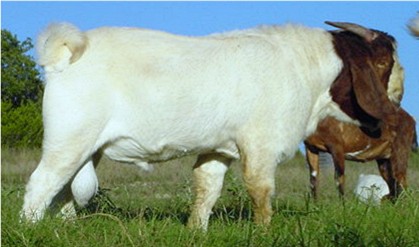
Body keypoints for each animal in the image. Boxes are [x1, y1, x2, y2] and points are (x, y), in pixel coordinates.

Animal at [21, 20, 402, 230]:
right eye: (383, 62)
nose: (398, 96)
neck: (301, 66)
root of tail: (64, 54)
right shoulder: (260, 145)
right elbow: (261, 193)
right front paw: (263, 233)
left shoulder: (219, 150)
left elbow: (207, 190)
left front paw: (196, 231)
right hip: (69, 139)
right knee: (42, 183)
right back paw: (30, 229)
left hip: (87, 147)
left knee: (65, 190)